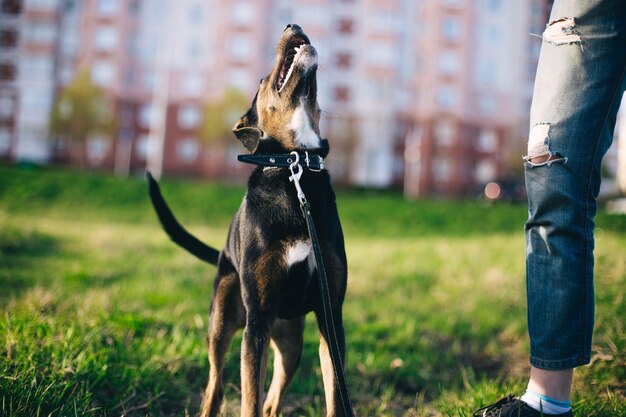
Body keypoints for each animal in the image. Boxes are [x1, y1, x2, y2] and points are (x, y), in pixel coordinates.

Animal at [147, 25, 352, 416]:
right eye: (261, 79)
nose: (292, 24)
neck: (294, 166)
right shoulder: (256, 321)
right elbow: (248, 401)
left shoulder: (330, 318)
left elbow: (335, 398)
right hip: (222, 322)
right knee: (215, 387)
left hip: (289, 341)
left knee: (271, 400)